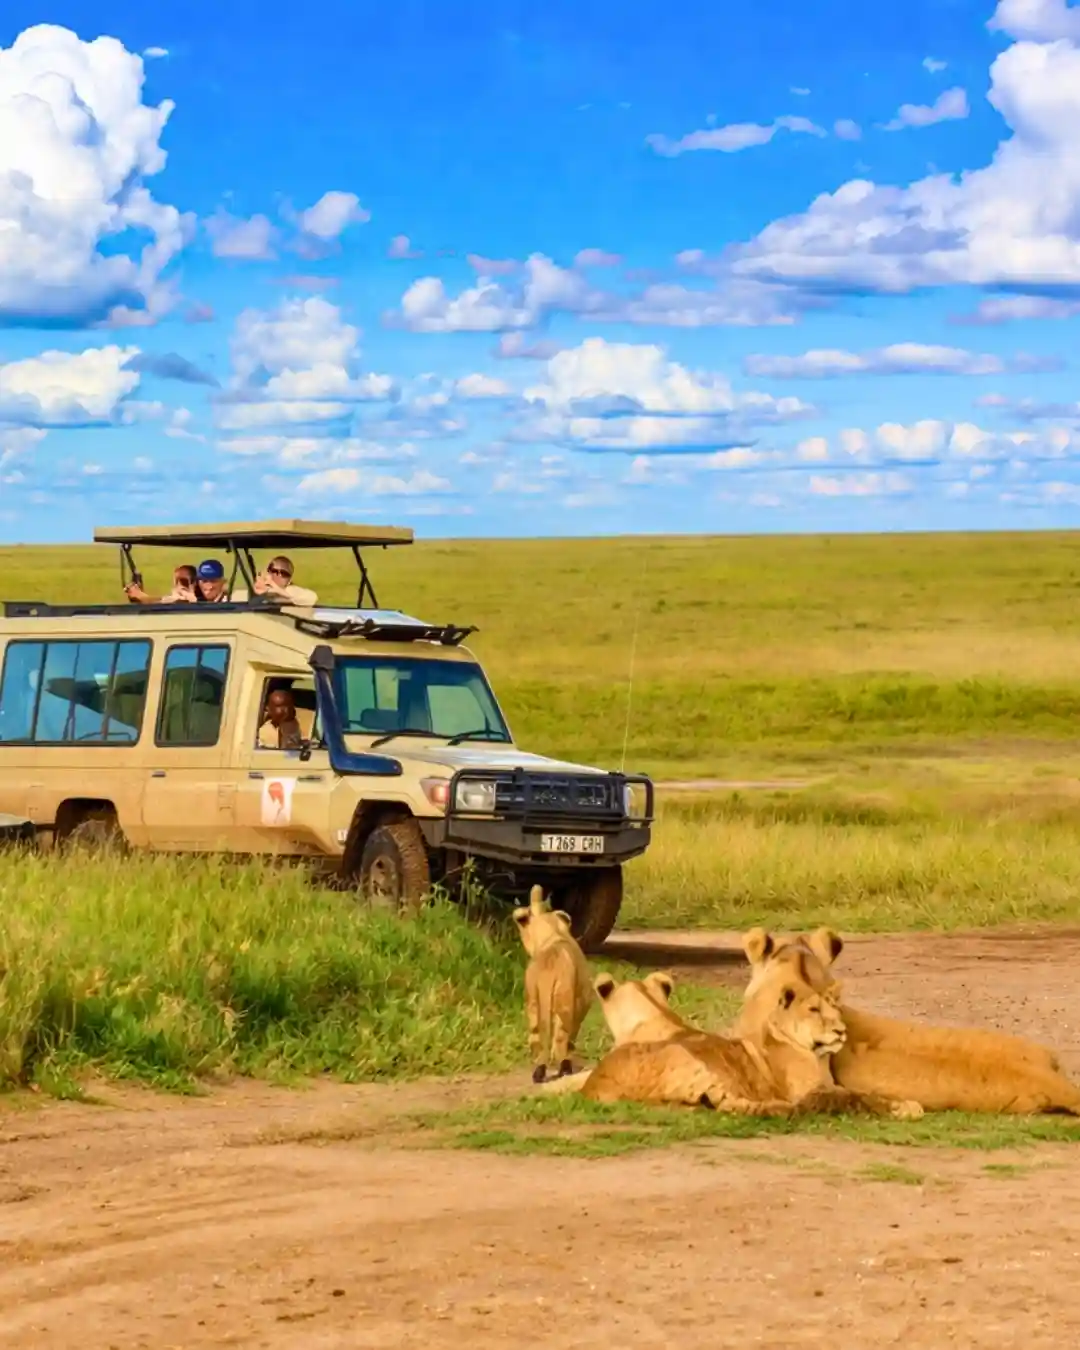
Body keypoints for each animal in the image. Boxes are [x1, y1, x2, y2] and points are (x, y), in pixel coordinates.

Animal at [513, 884, 594, 1083]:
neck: (552, 934)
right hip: (563, 1004)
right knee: (561, 1041)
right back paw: (565, 1069)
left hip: (533, 1004)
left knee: (537, 1039)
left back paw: (539, 1073)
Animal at [544, 968, 922, 1119]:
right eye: (815, 1010)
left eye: (835, 1010)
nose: (841, 1031)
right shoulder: (811, 1091)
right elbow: (856, 1097)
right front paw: (904, 1107)